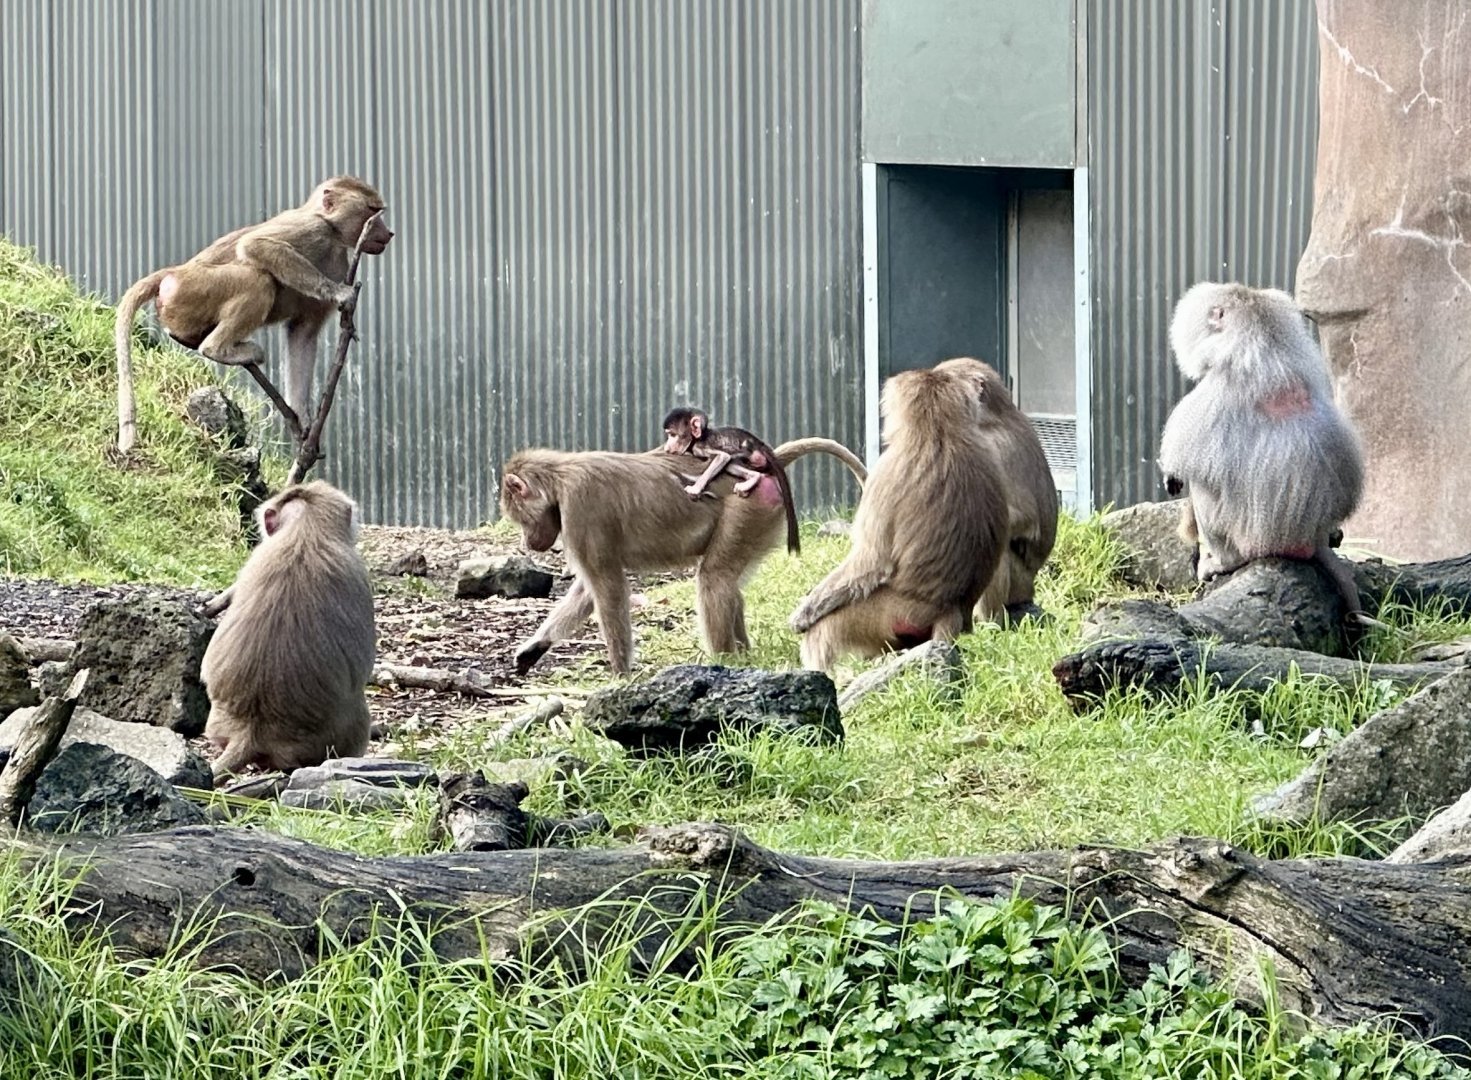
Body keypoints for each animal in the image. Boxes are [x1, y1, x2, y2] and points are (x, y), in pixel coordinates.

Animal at [114, 176, 394, 455]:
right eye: (372, 211)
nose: (389, 233)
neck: (333, 235)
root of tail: (176, 272)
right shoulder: (313, 229)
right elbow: (255, 244)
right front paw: (340, 294)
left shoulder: (338, 266)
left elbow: (303, 333)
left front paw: (303, 419)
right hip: (195, 288)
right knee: (258, 280)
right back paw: (219, 350)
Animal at [501, 438, 865, 676]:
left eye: (519, 518)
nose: (528, 542)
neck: (559, 478)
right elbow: (587, 590)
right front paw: (535, 647)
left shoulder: (580, 511)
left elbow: (607, 588)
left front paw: (620, 675)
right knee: (728, 584)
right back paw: (743, 656)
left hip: (749, 509)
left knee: (714, 580)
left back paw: (727, 663)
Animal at [660, 406, 801, 554]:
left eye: (673, 435)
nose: (667, 448)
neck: (699, 438)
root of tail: (759, 444)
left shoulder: (701, 447)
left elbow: (723, 457)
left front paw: (696, 488)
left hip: (746, 452)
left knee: (729, 459)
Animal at [789, 358, 1012, 672]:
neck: (939, 432)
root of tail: (949, 610)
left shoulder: (884, 474)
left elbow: (870, 561)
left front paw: (802, 614)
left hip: (881, 614)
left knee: (824, 629)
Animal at [1157, 281, 1370, 634]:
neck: (1266, 348)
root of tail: (1311, 536)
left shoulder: (1212, 394)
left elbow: (1185, 464)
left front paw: (1171, 475)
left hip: (1249, 540)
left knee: (1204, 490)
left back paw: (1218, 564)